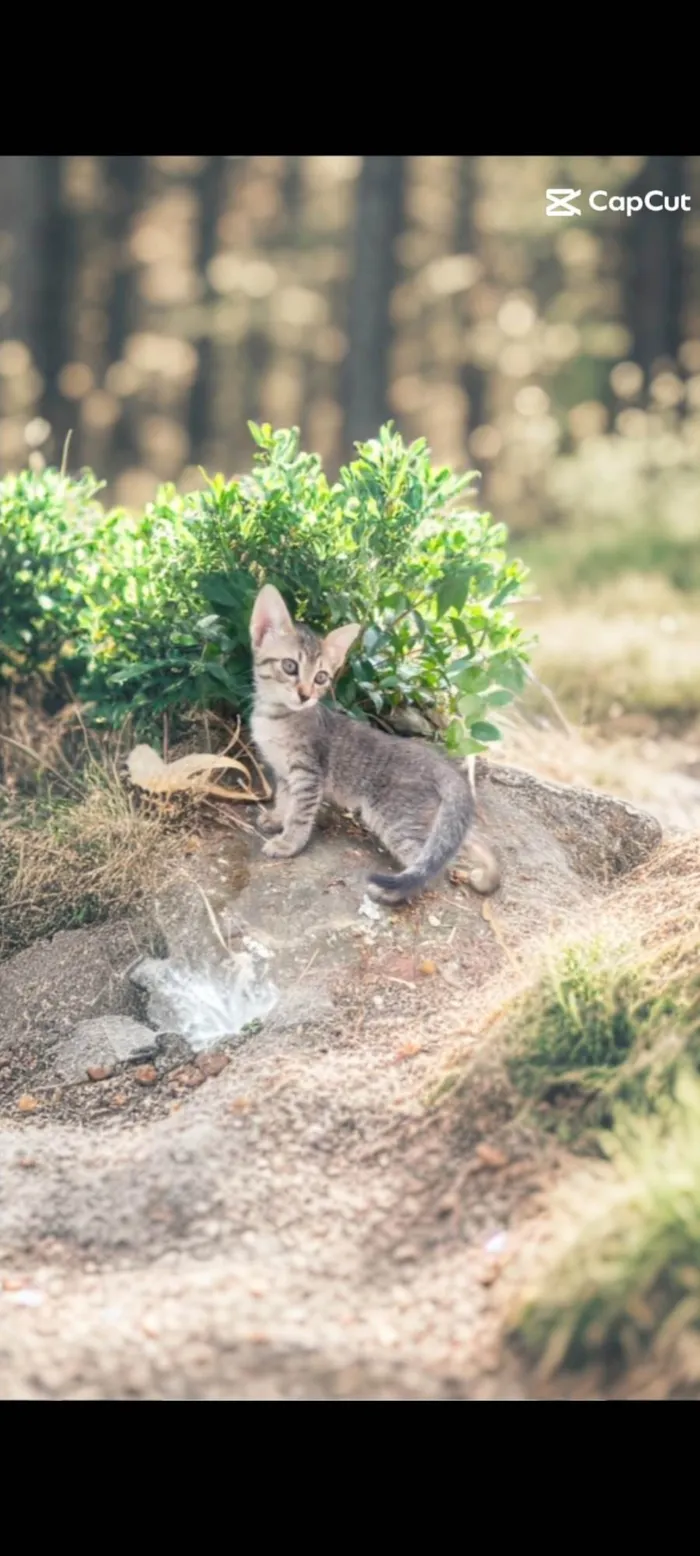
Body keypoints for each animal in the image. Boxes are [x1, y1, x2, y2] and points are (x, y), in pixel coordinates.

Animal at [248, 581, 500, 902]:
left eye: (321, 677)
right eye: (290, 666)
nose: (305, 695)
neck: (274, 716)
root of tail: (441, 765)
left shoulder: (308, 775)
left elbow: (300, 814)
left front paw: (288, 842)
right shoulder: (283, 772)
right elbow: (284, 799)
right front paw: (277, 818)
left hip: (397, 821)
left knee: (431, 868)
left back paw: (394, 892)